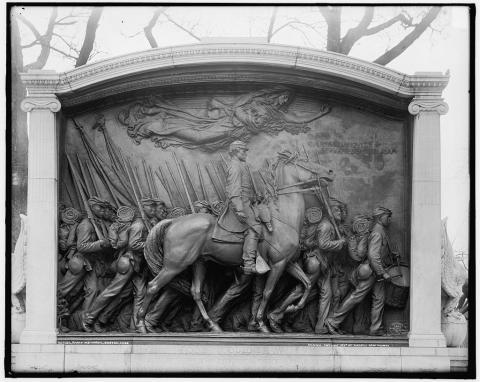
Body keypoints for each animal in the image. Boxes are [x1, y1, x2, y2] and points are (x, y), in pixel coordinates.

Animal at [138, 151, 334, 332]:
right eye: (305, 162)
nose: (330, 172)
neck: (282, 218)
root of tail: (173, 222)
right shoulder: (278, 264)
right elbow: (267, 293)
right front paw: (262, 323)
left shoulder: (288, 262)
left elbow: (307, 283)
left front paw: (291, 309)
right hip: (175, 265)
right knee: (152, 286)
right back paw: (142, 324)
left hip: (199, 262)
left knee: (196, 292)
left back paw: (212, 325)